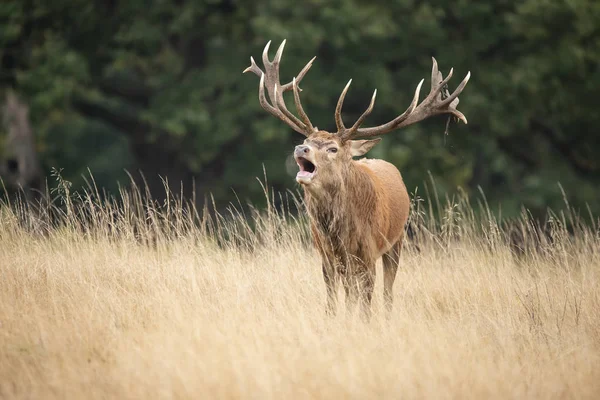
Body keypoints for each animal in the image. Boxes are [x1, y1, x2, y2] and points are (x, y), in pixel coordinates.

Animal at [243, 40, 468, 320]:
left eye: (332, 149)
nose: (300, 149)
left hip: (397, 240)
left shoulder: (368, 252)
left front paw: (363, 322)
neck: (340, 232)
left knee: (387, 291)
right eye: (307, 140)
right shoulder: (326, 254)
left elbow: (366, 301)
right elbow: (333, 299)